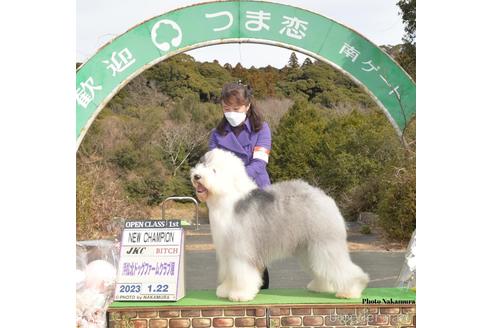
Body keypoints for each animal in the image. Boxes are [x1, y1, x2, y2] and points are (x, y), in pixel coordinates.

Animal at [190, 149, 368, 302]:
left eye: (214, 170)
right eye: (201, 164)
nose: (196, 176)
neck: (227, 198)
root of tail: (325, 197)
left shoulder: (240, 251)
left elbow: (241, 274)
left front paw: (240, 294)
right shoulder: (226, 251)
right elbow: (229, 273)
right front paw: (226, 290)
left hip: (324, 244)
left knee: (340, 267)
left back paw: (351, 290)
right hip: (308, 249)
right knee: (321, 268)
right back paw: (320, 287)